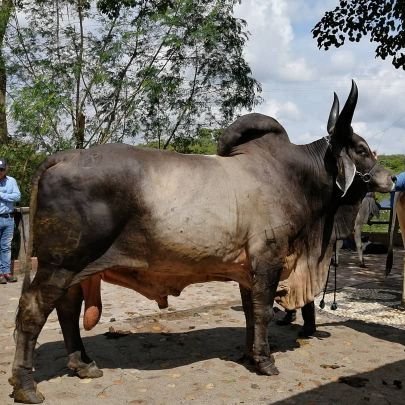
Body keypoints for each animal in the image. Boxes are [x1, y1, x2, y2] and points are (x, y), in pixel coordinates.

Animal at [9, 81, 394, 400]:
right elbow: (263, 311)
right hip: (60, 264)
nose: (391, 178)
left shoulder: (247, 269)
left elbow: (251, 313)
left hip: (74, 268)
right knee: (32, 311)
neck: (295, 178)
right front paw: (265, 361)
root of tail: (64, 155)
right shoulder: (268, 261)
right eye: (361, 149)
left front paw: (249, 354)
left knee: (67, 309)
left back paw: (83, 364)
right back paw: (26, 385)